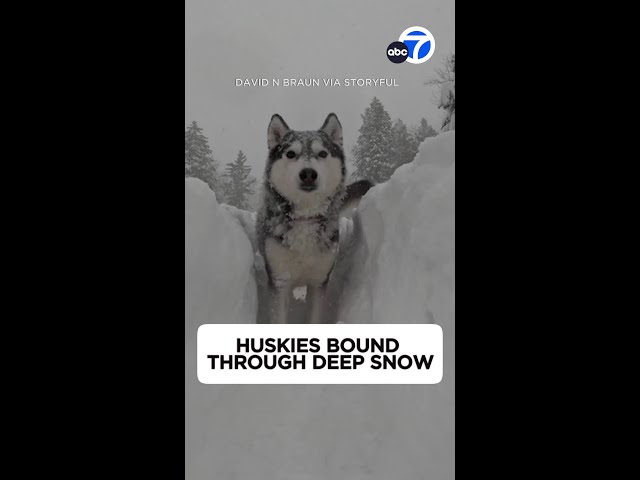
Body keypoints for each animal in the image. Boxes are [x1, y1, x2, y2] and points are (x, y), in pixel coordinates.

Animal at [256, 112, 372, 322]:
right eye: (290, 154)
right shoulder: (280, 281)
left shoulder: (319, 282)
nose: (308, 174)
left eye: (323, 153)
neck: (305, 217)